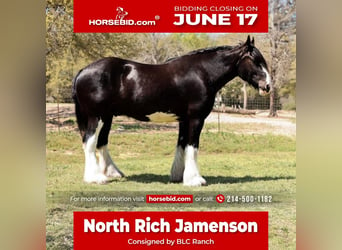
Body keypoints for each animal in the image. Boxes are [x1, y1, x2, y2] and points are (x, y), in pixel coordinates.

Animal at [71, 36, 270, 187]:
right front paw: (195, 179)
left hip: (107, 116)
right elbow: (192, 146)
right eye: (255, 61)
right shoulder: (196, 118)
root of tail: (82, 71)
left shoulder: (184, 119)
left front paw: (178, 176)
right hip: (96, 116)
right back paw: (95, 178)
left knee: (101, 142)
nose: (267, 86)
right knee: (89, 142)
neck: (201, 72)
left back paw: (113, 172)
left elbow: (182, 144)